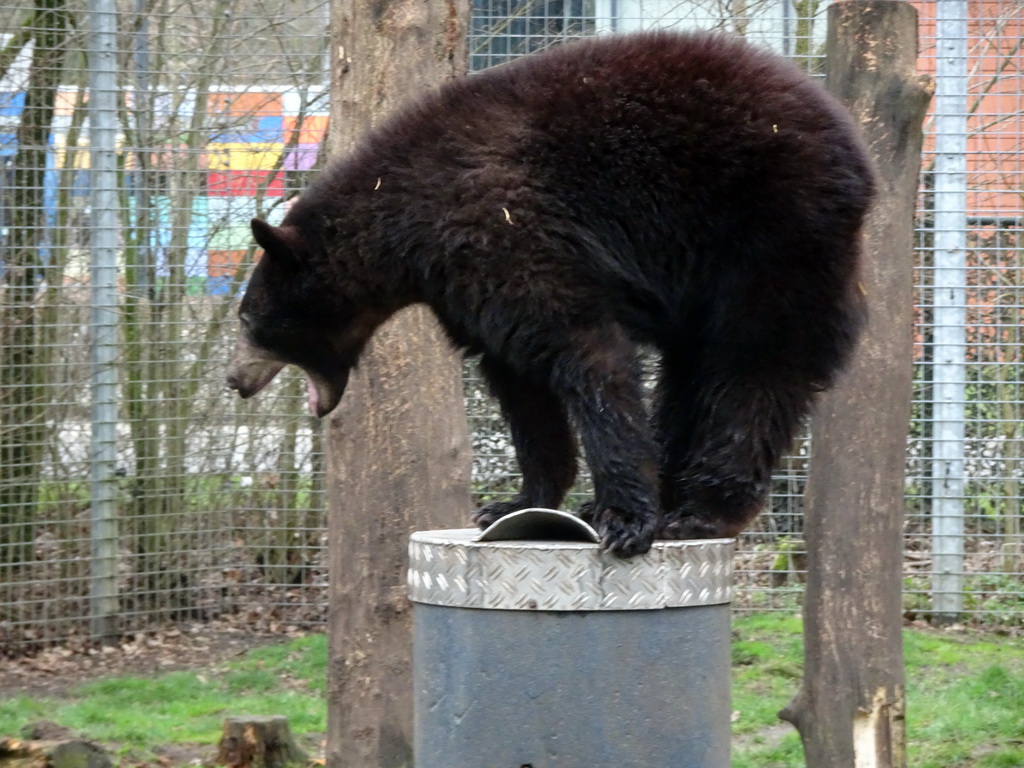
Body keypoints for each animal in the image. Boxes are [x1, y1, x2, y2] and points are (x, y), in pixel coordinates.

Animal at [228, 31, 876, 561]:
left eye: (248, 318)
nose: (234, 380)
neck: (405, 224)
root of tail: (851, 142)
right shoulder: (465, 288)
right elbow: (520, 382)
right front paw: (517, 501)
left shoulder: (509, 230)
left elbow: (584, 352)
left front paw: (624, 517)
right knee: (689, 371)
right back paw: (670, 491)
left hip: (771, 228)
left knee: (754, 363)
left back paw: (701, 509)